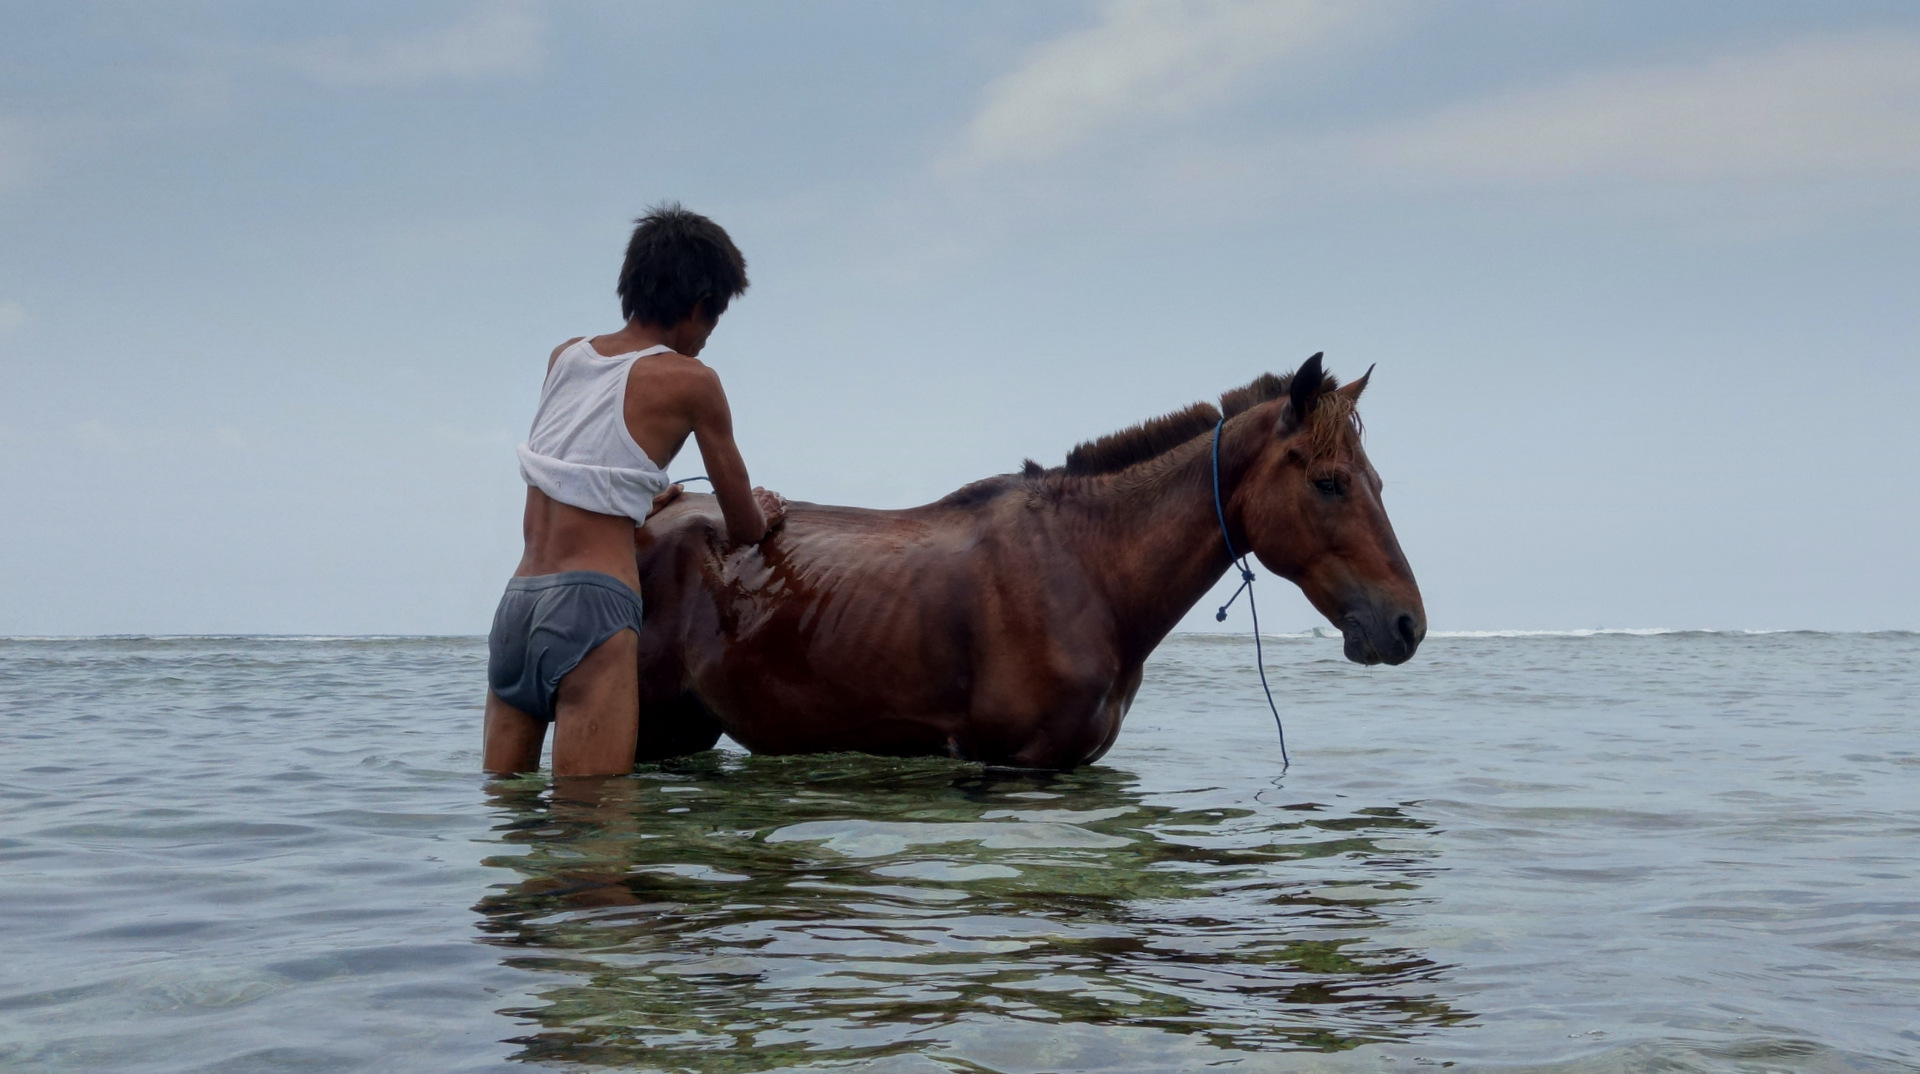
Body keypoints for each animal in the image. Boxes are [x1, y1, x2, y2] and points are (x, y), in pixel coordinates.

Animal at [629, 357, 1428, 768]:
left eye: (1378, 481)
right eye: (1329, 482)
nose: (1406, 625)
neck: (1089, 569)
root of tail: (656, 510)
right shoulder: (1020, 765)